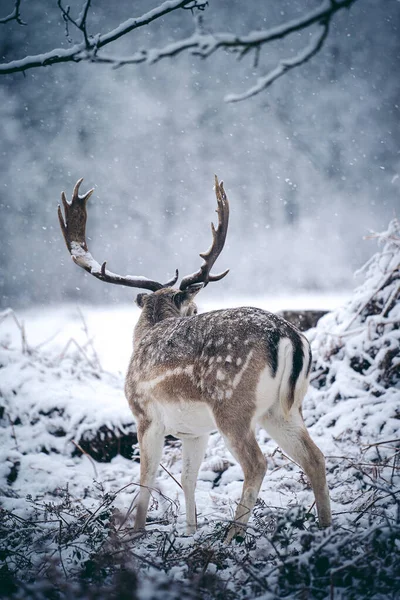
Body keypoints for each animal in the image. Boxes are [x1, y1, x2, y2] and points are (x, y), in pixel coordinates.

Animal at [57, 176, 332, 540]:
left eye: (194, 307)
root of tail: (288, 337)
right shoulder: (194, 432)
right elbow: (188, 479)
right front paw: (190, 530)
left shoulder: (145, 415)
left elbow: (147, 478)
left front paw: (137, 532)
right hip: (284, 409)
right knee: (315, 457)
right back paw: (327, 530)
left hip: (232, 404)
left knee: (257, 463)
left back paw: (232, 537)